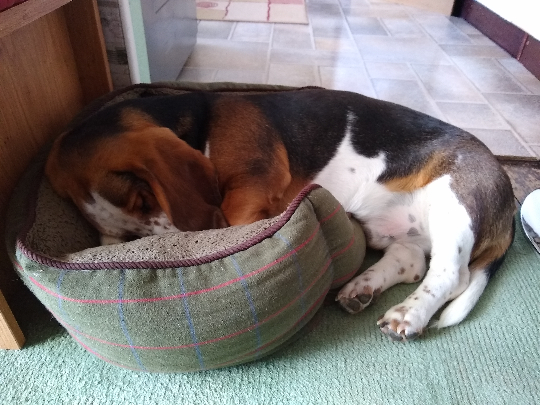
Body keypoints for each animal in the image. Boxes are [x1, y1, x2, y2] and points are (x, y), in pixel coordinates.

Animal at [46, 89, 516, 340]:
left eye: (144, 197)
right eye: (130, 237)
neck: (200, 130)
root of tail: (508, 193)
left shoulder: (251, 191)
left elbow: (239, 220)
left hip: (453, 202)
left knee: (450, 275)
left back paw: (409, 314)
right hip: (399, 231)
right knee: (413, 261)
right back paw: (361, 287)